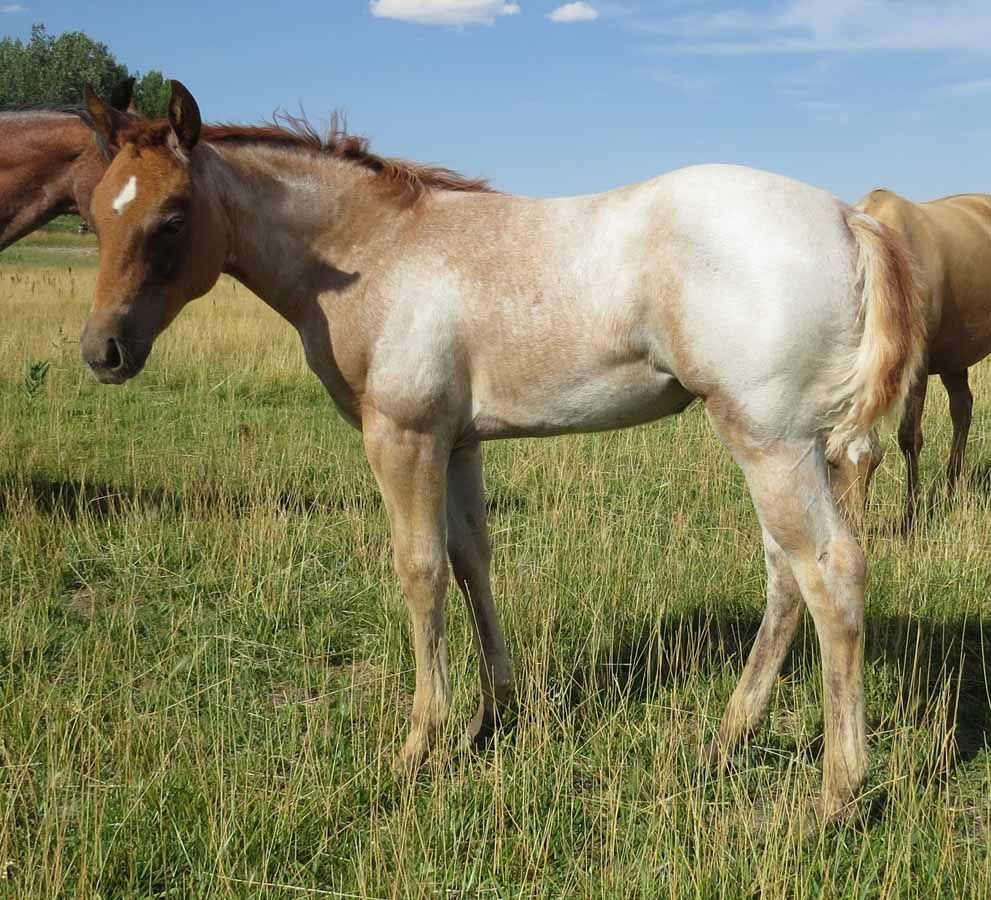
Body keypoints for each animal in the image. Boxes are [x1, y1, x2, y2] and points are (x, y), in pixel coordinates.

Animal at [78, 81, 926, 820]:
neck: (372, 250)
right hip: (789, 445)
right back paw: (724, 742)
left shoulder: (403, 437)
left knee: (828, 574)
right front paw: (493, 720)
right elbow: (469, 561)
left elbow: (419, 571)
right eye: (92, 213)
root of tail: (845, 216)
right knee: (785, 577)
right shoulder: (457, 444)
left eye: (173, 216)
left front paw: (419, 746)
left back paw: (835, 796)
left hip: (769, 442)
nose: (103, 352)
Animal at [832, 189, 991, 528]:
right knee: (962, 410)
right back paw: (951, 488)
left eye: (874, 461)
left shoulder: (916, 368)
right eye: (831, 461)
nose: (854, 525)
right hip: (954, 356)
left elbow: (909, 438)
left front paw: (912, 513)